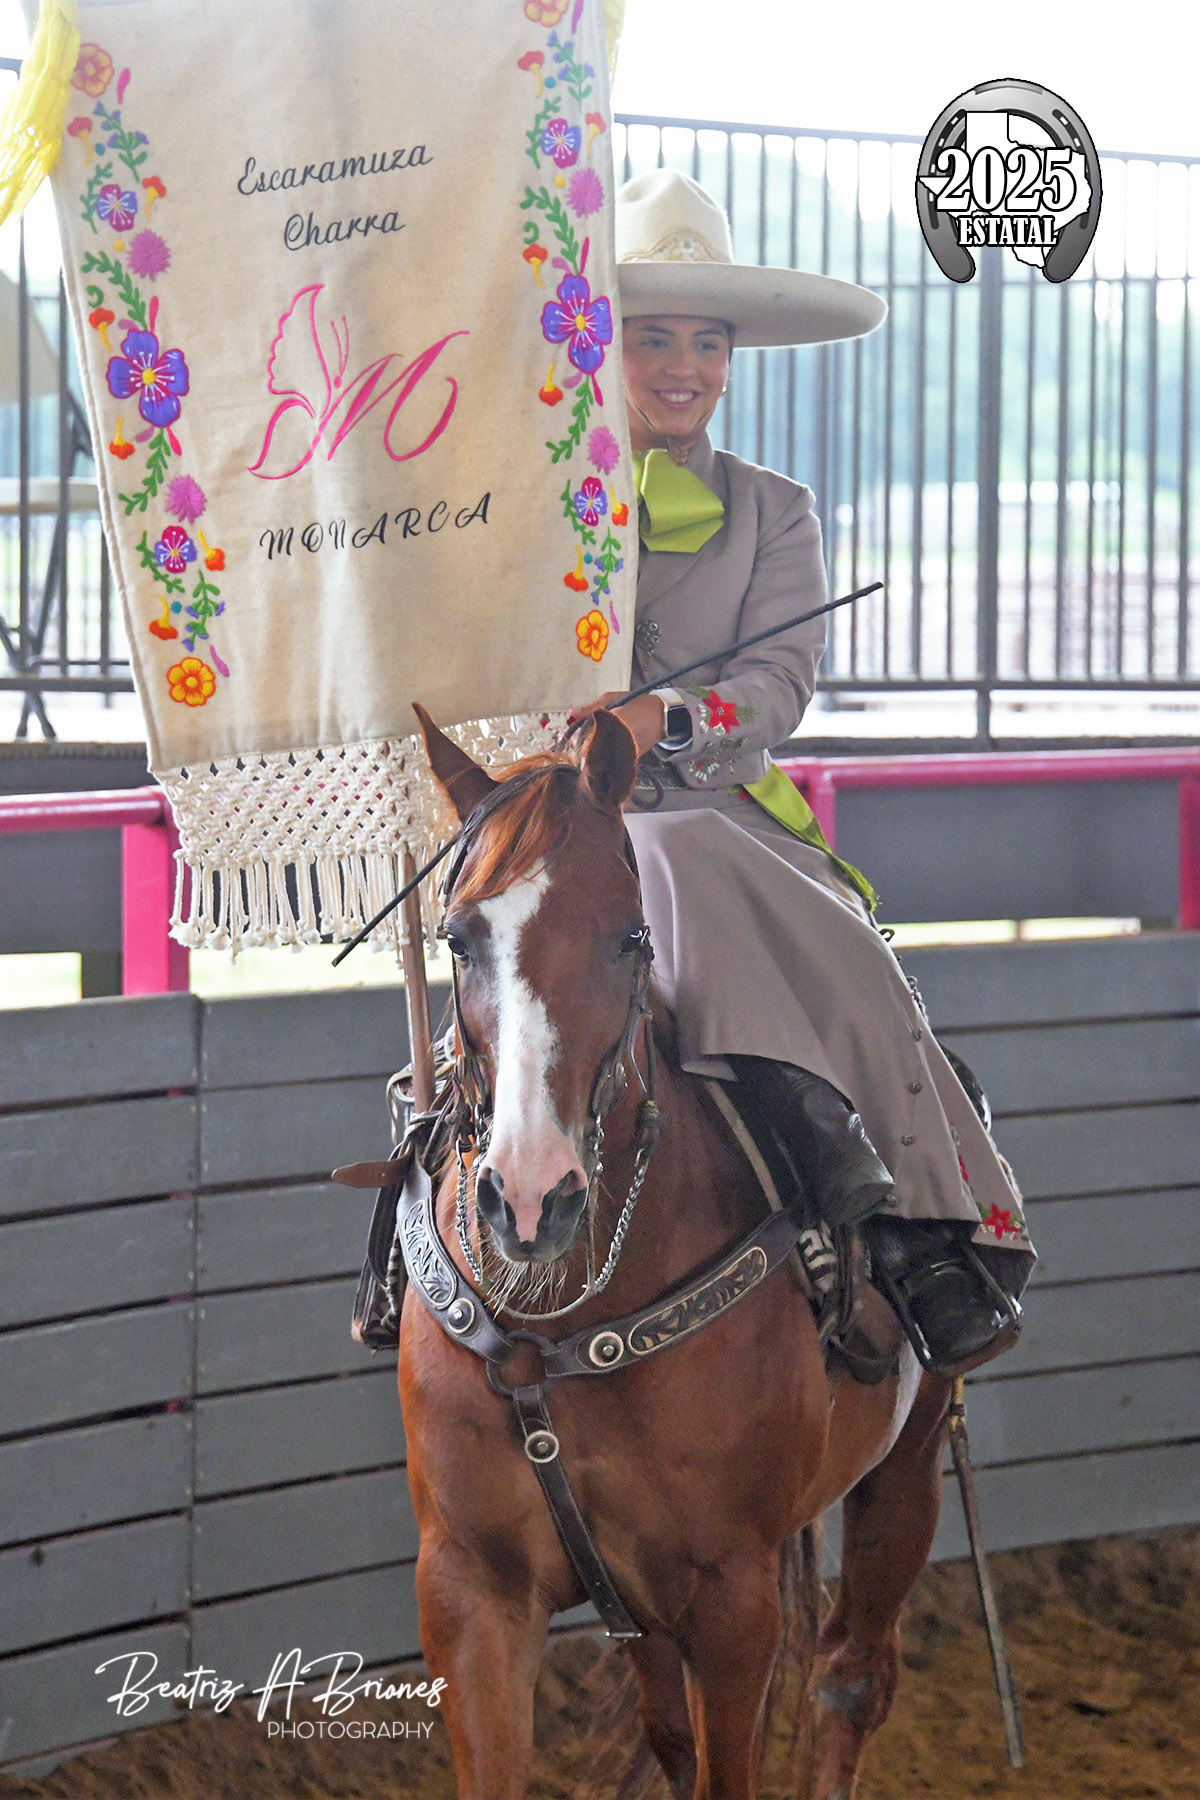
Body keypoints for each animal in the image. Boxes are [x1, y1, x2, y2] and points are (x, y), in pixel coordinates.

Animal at [396, 704, 954, 1800]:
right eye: (459, 937)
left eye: (632, 935)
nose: (532, 1198)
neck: (566, 1321)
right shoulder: (470, 1589)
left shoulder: (732, 1599)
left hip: (908, 1461)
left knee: (851, 1680)